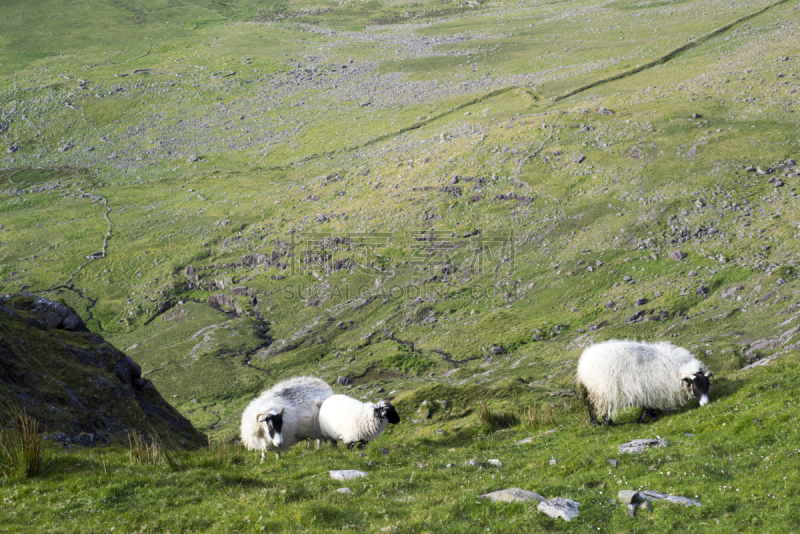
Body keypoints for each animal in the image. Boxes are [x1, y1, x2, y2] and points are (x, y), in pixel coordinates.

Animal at [576, 342, 712, 430]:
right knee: (599, 407)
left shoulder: (652, 391)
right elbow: (647, 406)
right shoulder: (651, 389)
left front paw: (653, 415)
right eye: (695, 387)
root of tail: (584, 361)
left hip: (591, 389)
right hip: (601, 390)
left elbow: (650, 406)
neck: (675, 369)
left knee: (590, 405)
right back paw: (608, 423)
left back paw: (595, 422)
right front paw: (642, 420)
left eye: (708, 385)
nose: (706, 404)